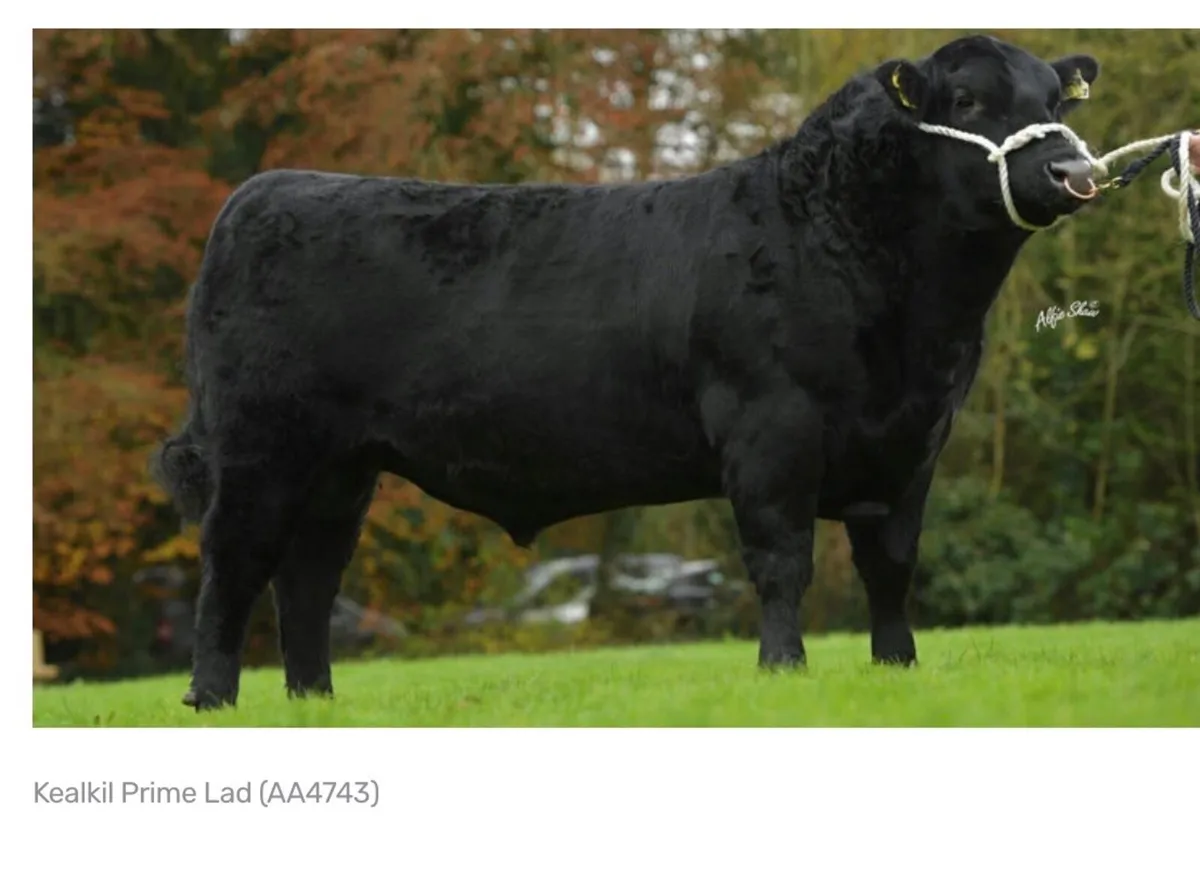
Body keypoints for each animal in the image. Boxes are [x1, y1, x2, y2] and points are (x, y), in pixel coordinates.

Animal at [153, 34, 1102, 710]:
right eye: (970, 100)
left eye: (1057, 100)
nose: (1073, 169)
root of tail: (262, 193)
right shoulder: (772, 428)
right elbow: (782, 559)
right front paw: (783, 670)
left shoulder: (914, 440)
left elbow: (892, 566)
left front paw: (897, 668)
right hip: (260, 446)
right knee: (233, 563)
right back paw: (211, 698)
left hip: (341, 467)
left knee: (309, 578)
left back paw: (313, 698)